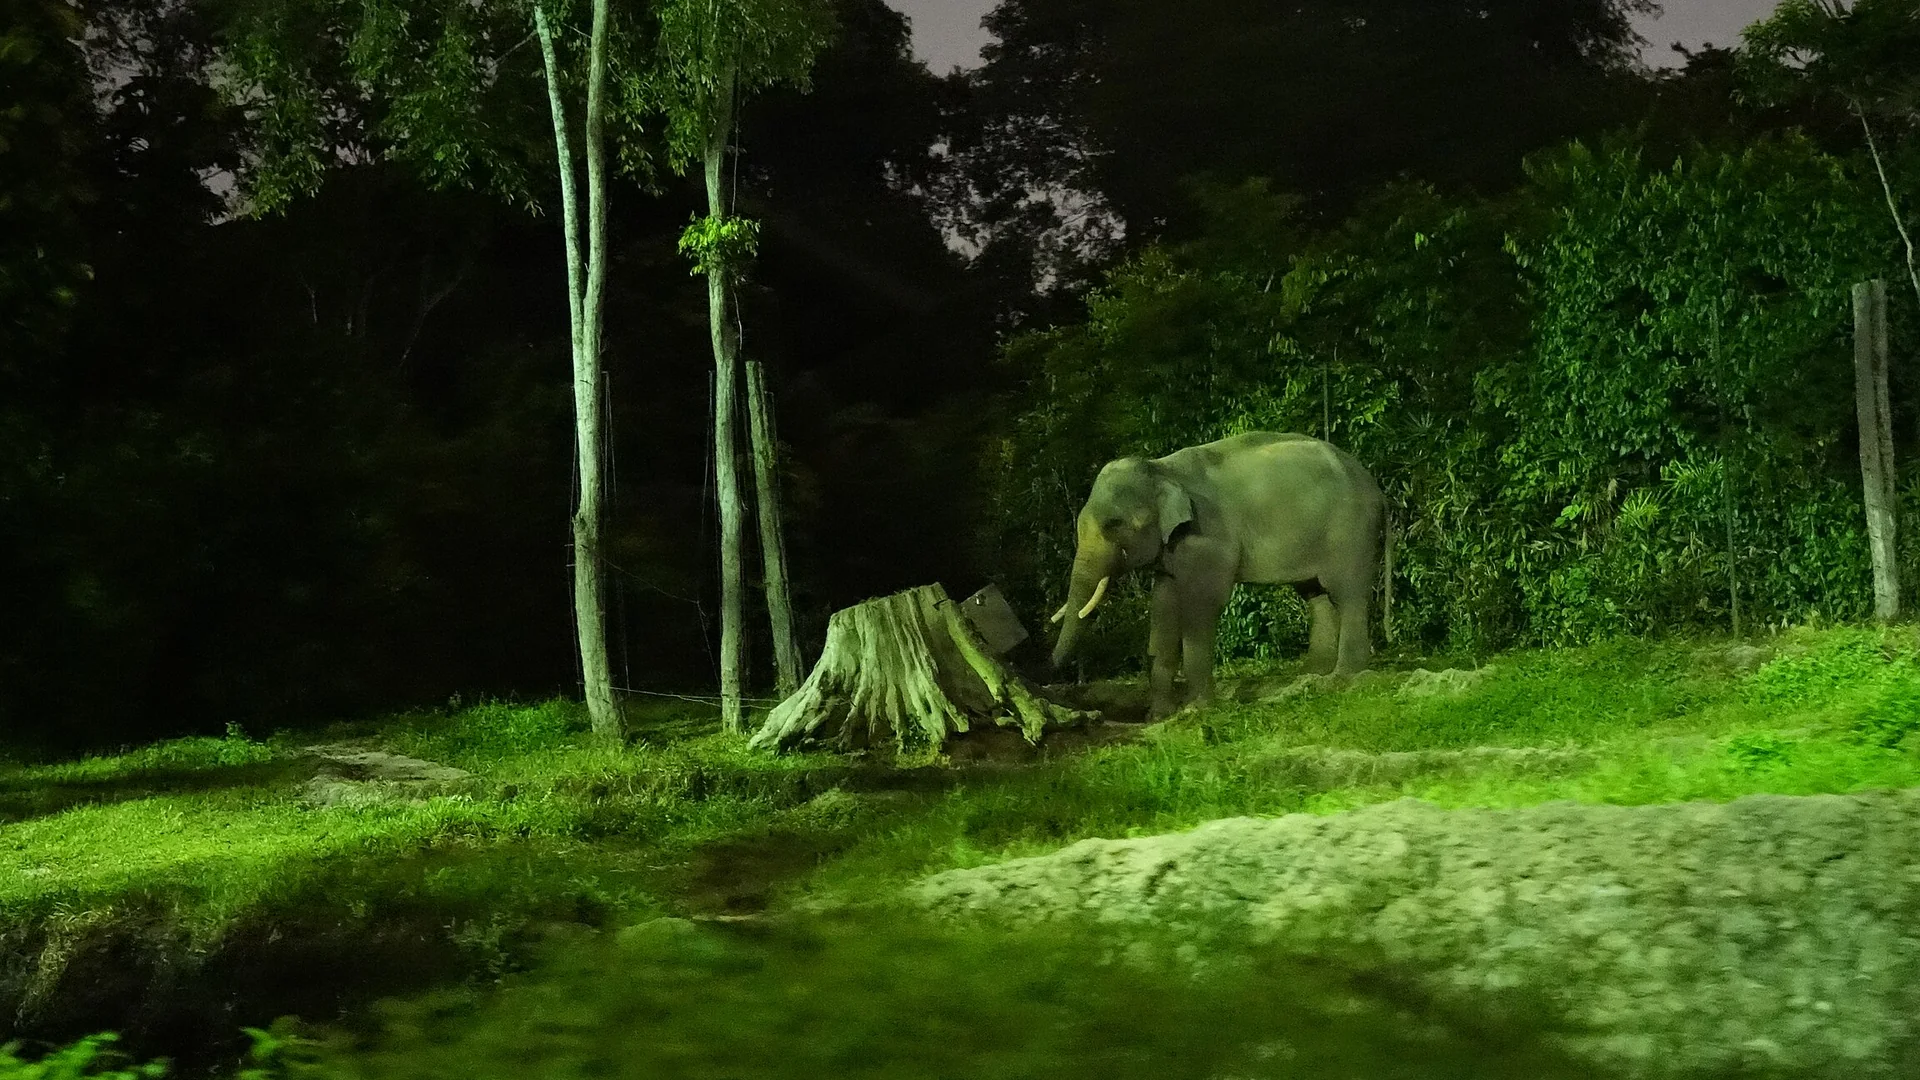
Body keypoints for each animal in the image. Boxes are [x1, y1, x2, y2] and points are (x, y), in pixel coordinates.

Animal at [1049, 431, 1385, 718]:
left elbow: (1202, 603)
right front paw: (1158, 716)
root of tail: (1375, 485)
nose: (1048, 671)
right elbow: (1163, 607)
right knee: (1317, 595)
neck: (1162, 469)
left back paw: (1344, 677)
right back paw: (1311, 675)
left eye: (1114, 524)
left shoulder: (1208, 537)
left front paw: (1197, 708)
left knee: (1348, 594)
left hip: (1351, 532)